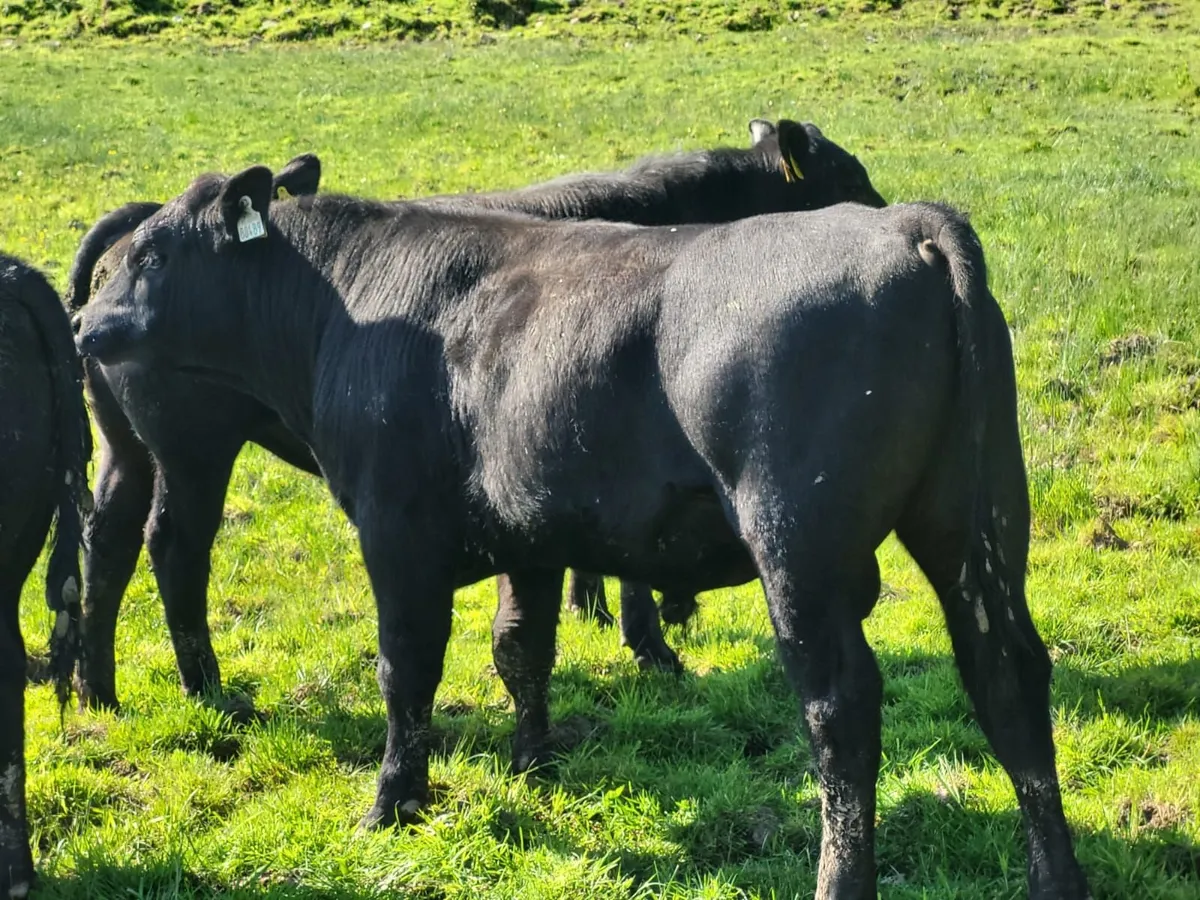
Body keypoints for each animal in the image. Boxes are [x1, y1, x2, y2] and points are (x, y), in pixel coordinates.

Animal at [67, 119, 887, 712]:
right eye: (847, 178)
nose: (881, 215)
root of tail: (133, 229)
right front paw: (649, 645)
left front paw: (599, 618)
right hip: (193, 449)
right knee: (174, 547)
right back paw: (208, 688)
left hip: (128, 448)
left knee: (106, 541)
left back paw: (97, 688)